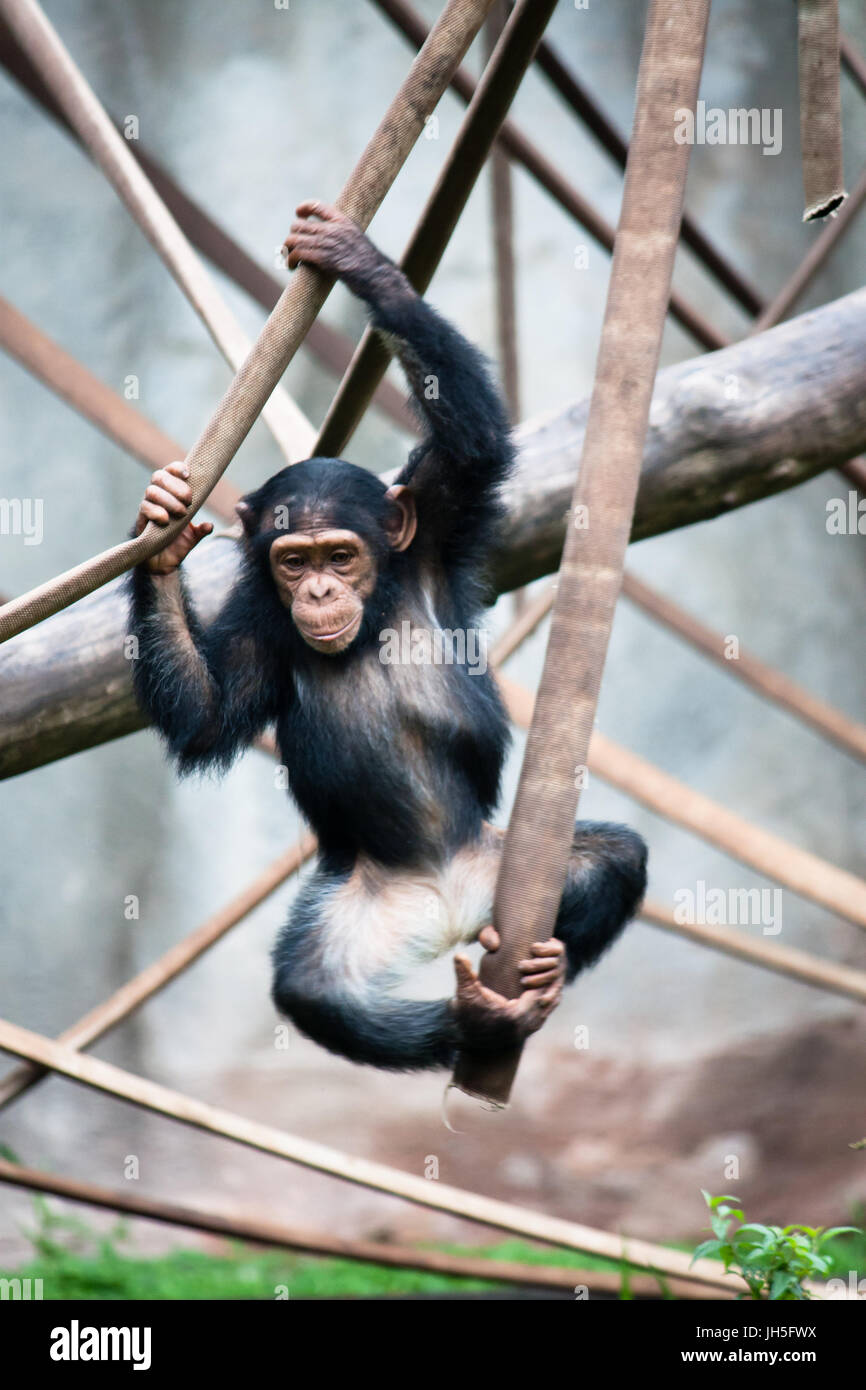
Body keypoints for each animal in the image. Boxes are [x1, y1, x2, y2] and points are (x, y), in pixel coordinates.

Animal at [125, 201, 647, 1073]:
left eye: (341, 554)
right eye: (293, 560)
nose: (320, 590)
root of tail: (451, 910)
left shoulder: (439, 521)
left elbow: (472, 440)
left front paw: (361, 263)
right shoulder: (259, 623)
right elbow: (207, 714)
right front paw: (163, 536)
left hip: (505, 866)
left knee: (616, 860)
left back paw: (541, 977)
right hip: (365, 909)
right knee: (314, 993)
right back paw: (476, 1021)